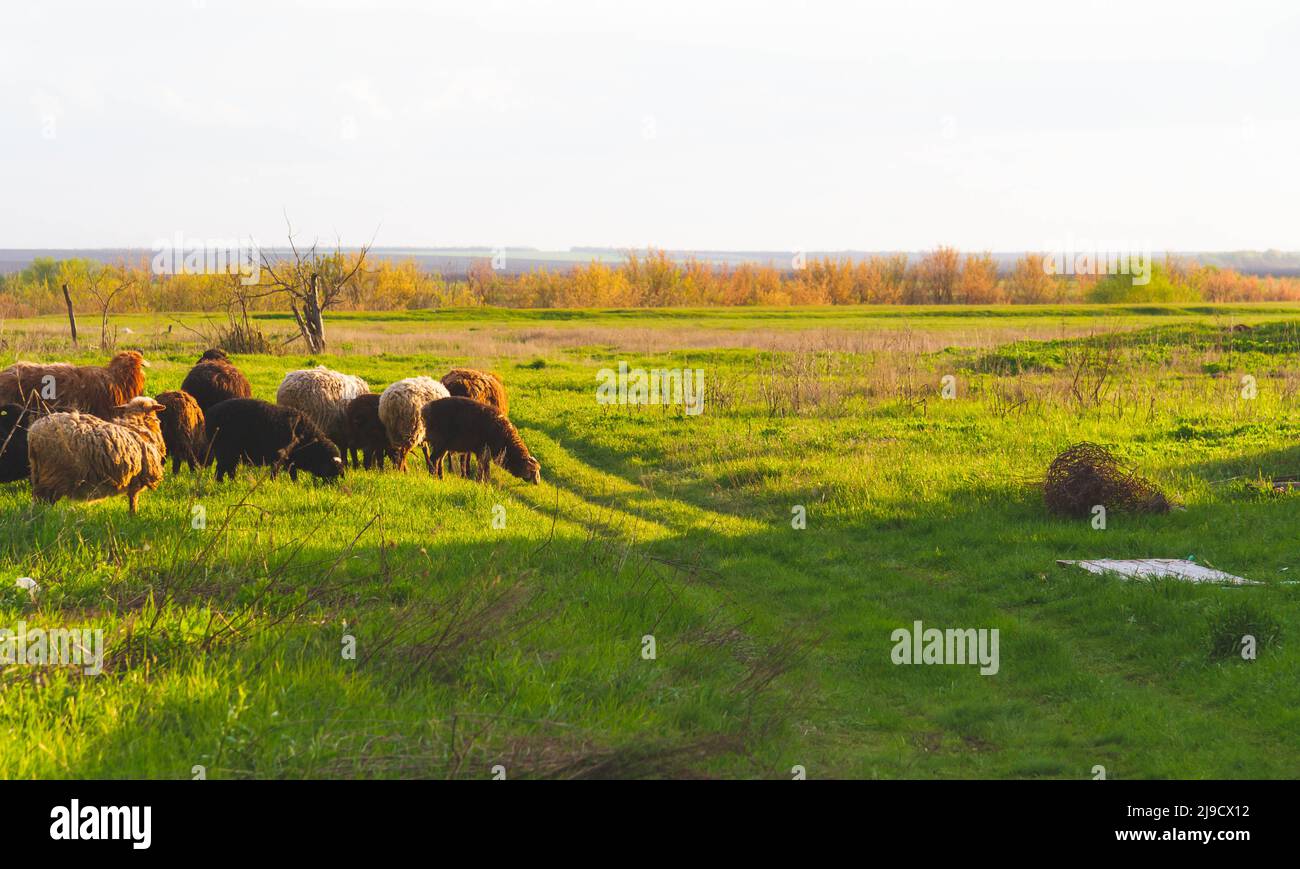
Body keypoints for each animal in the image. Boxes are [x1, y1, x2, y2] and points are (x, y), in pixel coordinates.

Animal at [27, 396, 167, 514]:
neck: (138, 424)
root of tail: (33, 434)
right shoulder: (137, 479)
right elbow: (133, 500)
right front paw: (133, 516)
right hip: (53, 475)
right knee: (43, 502)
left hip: (38, 472)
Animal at [205, 398, 344, 483]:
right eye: (333, 470)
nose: (331, 486)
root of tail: (209, 413)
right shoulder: (279, 457)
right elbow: (275, 472)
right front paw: (273, 483)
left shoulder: (290, 460)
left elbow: (293, 474)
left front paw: (295, 484)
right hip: (225, 450)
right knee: (223, 469)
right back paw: (223, 483)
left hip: (229, 453)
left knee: (227, 469)